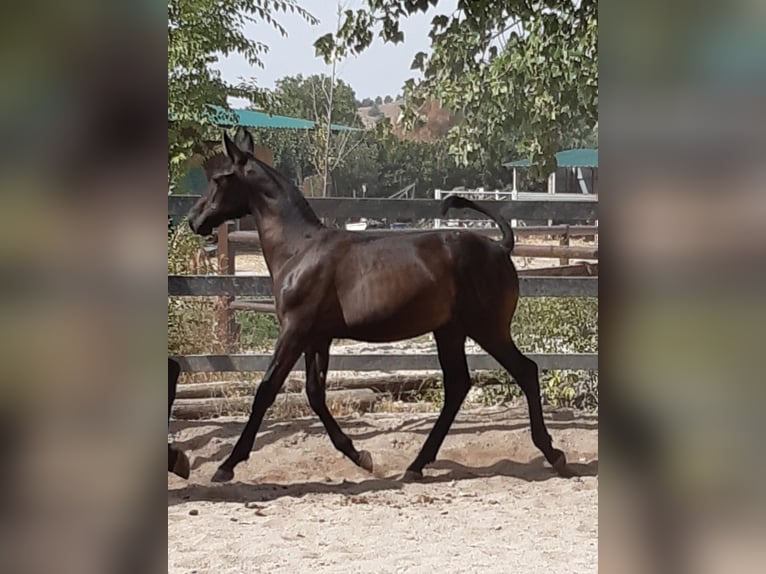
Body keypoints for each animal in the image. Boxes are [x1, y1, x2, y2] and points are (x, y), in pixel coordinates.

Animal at [186, 128, 568, 484]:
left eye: (219, 178)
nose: (194, 219)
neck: (299, 250)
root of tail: (501, 248)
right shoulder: (317, 338)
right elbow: (314, 394)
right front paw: (360, 455)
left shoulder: (294, 331)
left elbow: (266, 390)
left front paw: (227, 465)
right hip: (450, 331)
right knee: (458, 386)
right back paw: (416, 465)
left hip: (486, 329)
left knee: (525, 371)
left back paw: (553, 453)